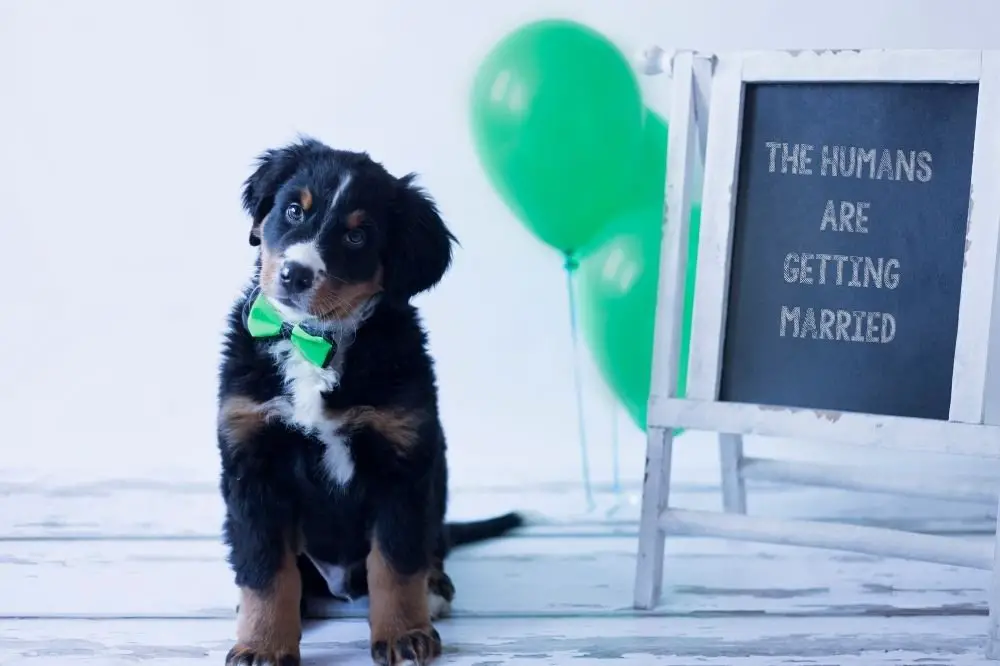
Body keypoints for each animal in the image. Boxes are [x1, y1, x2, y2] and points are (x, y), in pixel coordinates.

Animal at [214, 136, 520, 664]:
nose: (295, 274)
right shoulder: (252, 461)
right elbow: (264, 570)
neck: (316, 343)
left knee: (429, 548)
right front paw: (262, 645)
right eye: (293, 210)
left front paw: (402, 635)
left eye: (357, 237)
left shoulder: (401, 461)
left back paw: (435, 589)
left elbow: (396, 563)